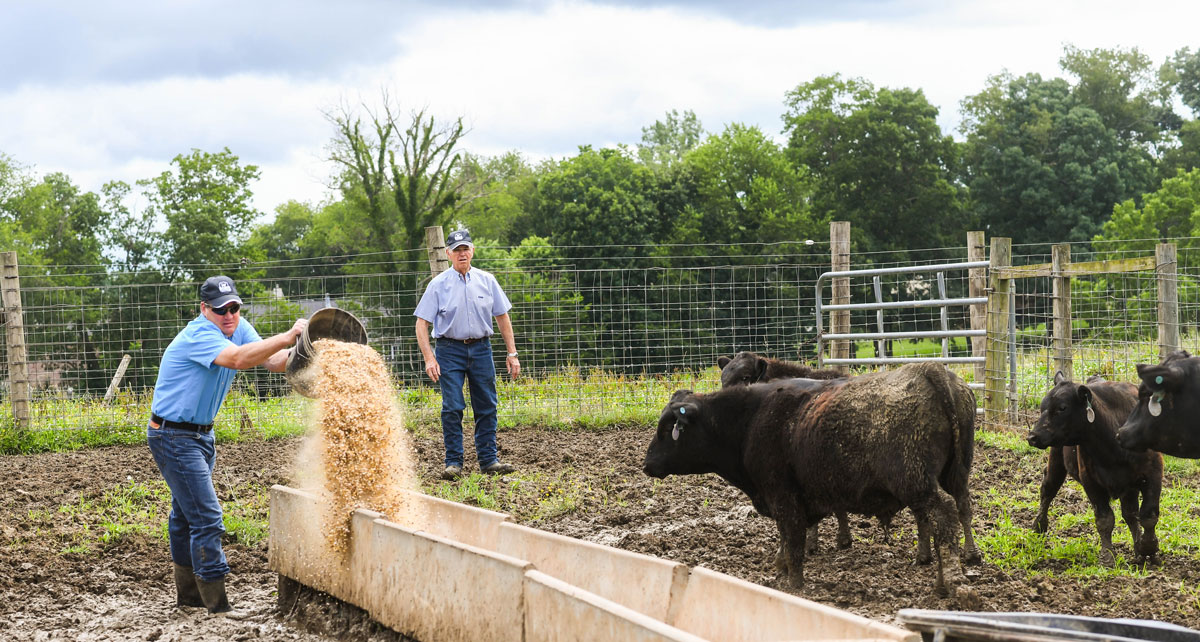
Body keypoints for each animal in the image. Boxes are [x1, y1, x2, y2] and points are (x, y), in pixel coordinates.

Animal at [643, 362, 979, 592]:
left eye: (667, 429)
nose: (646, 464)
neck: (751, 419)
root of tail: (928, 370)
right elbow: (786, 538)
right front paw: (780, 567)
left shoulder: (783, 495)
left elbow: (792, 539)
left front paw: (793, 582)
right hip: (954, 475)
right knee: (959, 507)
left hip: (916, 481)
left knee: (944, 513)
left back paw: (949, 582)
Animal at [1027, 374, 1156, 566]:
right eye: (1042, 406)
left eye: (1062, 407)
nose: (1032, 437)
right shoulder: (1090, 481)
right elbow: (1105, 520)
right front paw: (1108, 556)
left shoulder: (1152, 475)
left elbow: (1148, 516)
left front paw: (1147, 549)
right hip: (1056, 459)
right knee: (1048, 489)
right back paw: (1039, 526)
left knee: (1130, 514)